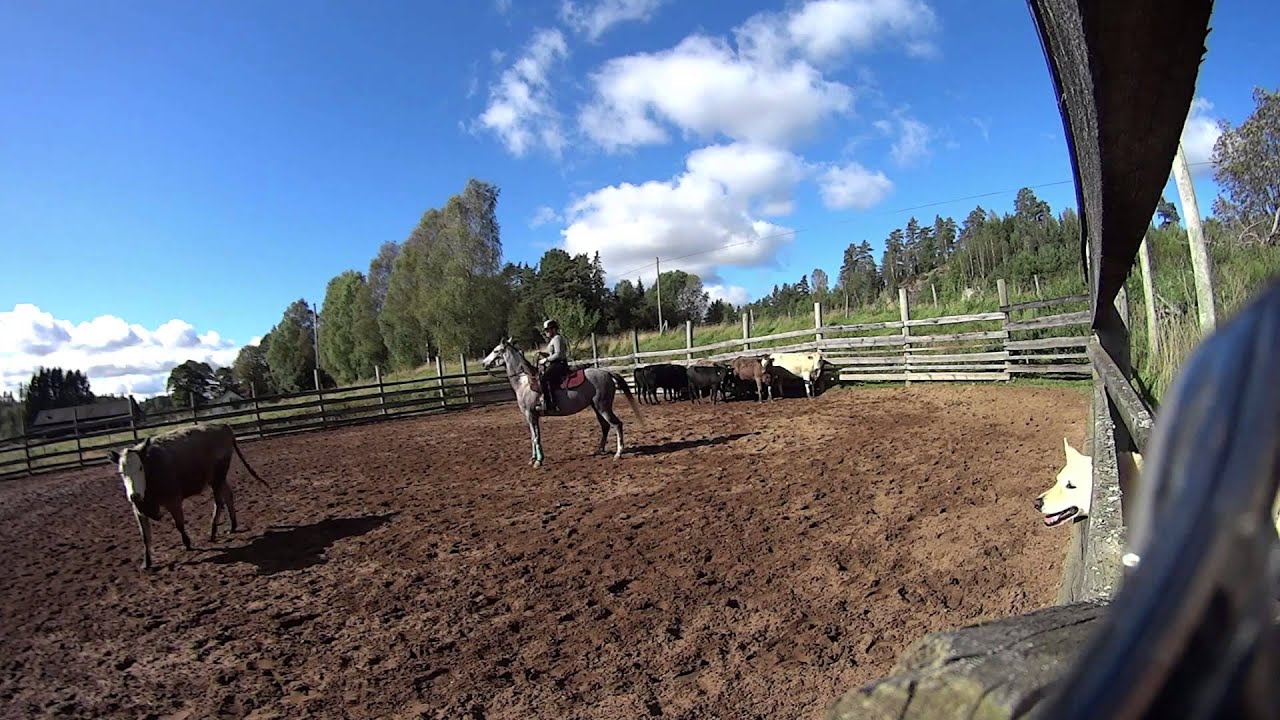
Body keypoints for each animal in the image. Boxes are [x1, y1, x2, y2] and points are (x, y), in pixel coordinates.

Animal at [479, 337, 644, 467]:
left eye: (496, 350)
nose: (483, 363)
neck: (524, 381)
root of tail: (606, 372)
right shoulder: (532, 416)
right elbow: (534, 436)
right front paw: (533, 459)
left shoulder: (530, 414)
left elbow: (535, 437)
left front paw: (538, 461)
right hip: (597, 407)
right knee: (605, 426)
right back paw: (599, 450)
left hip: (603, 407)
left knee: (617, 424)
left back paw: (618, 453)